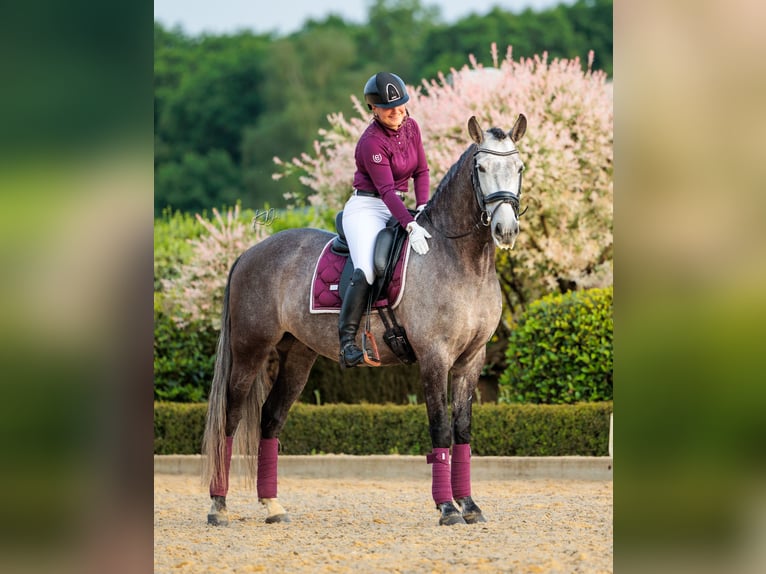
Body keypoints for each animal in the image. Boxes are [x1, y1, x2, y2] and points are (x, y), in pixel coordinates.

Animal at [202, 115, 528, 528]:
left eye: (519, 168)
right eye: (481, 168)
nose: (506, 230)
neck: (461, 258)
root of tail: (248, 253)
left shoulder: (472, 358)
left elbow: (463, 430)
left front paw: (469, 505)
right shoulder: (434, 357)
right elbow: (440, 428)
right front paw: (447, 509)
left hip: (298, 355)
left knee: (270, 419)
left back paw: (273, 506)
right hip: (250, 349)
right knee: (230, 418)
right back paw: (218, 506)